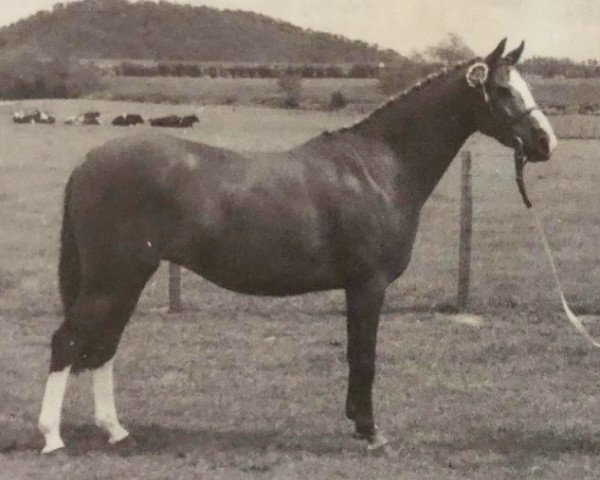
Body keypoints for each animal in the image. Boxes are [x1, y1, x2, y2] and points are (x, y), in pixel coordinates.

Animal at [38, 38, 556, 454]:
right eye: (504, 90)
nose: (545, 142)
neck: (379, 167)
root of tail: (88, 162)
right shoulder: (368, 285)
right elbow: (363, 357)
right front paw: (370, 432)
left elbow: (356, 355)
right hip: (112, 278)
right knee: (69, 341)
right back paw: (52, 437)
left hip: (128, 278)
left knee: (104, 346)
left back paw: (116, 431)